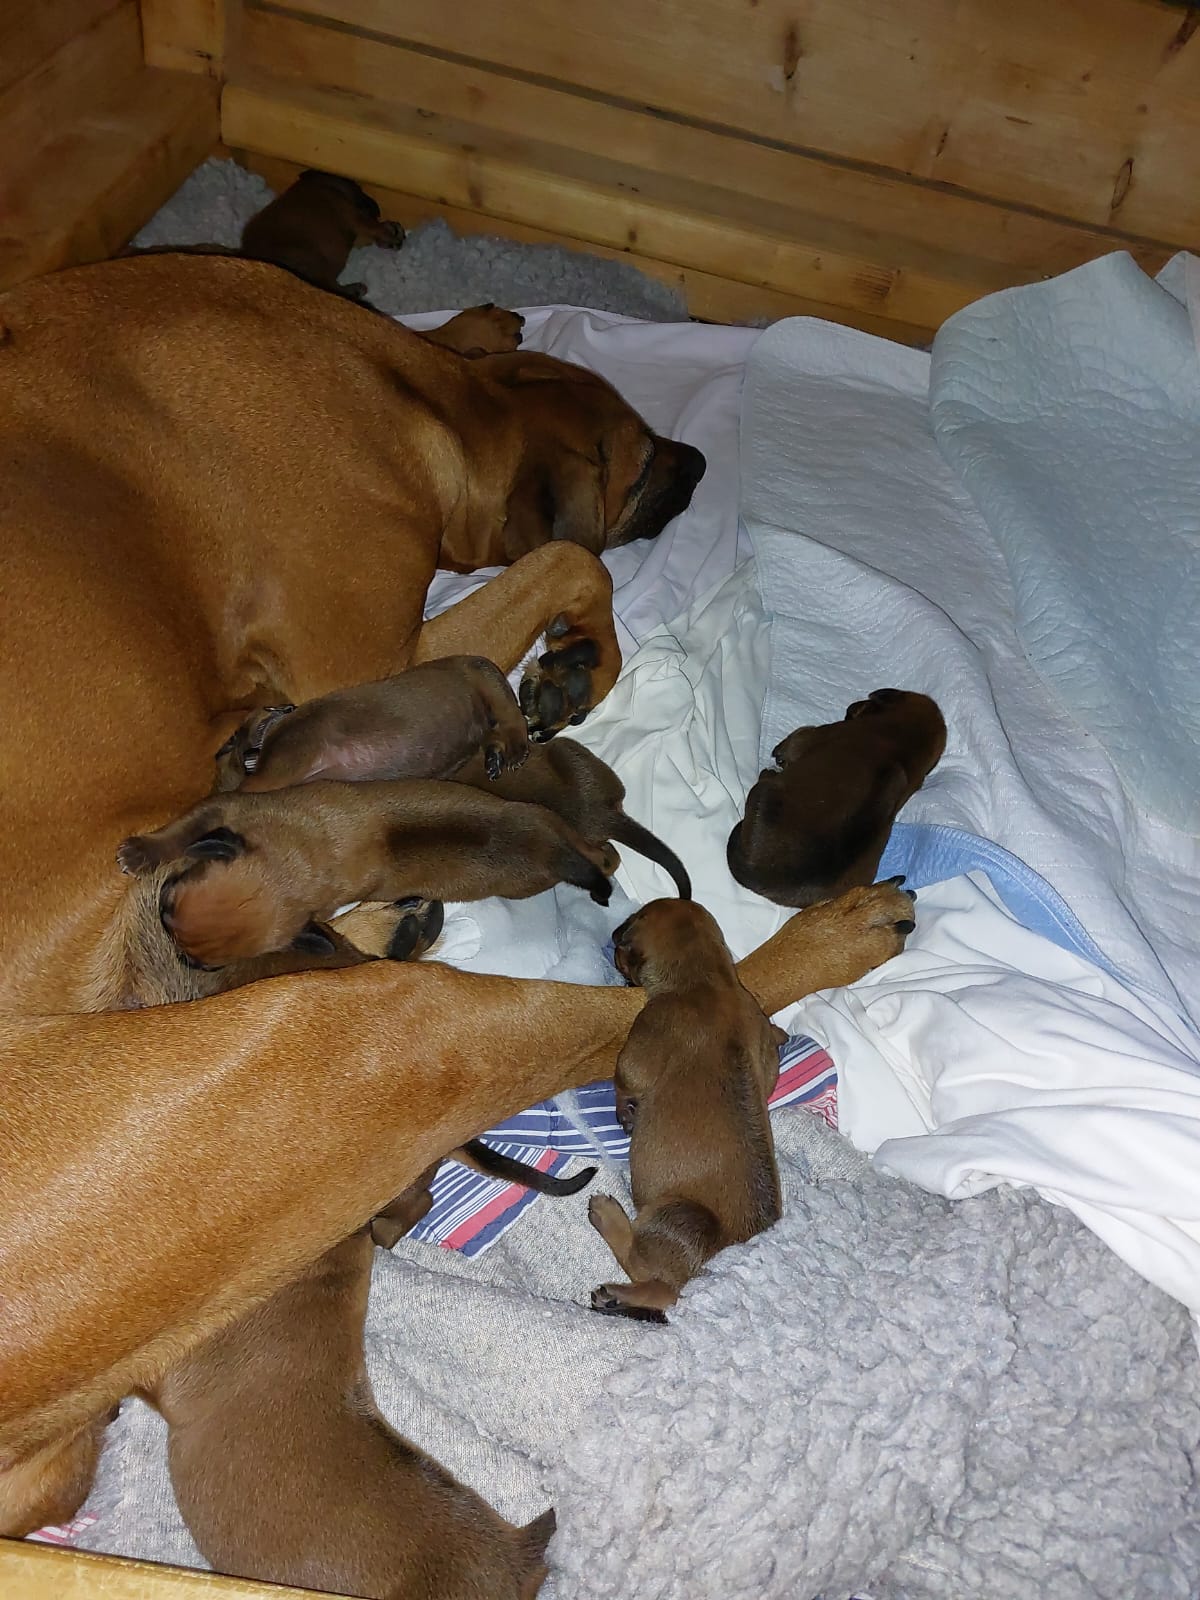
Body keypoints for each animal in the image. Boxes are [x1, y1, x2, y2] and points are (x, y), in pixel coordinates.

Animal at [117, 781, 620, 965]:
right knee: (600, 853)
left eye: (206, 965)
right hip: (543, 817)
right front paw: (143, 851)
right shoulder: (226, 808)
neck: (294, 861)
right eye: (167, 902)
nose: (179, 954)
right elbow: (183, 830)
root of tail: (550, 851)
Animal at [213, 655, 529, 792]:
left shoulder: (285, 758)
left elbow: (248, 786)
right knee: (494, 732)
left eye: (226, 746)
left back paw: (514, 750)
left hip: (483, 675)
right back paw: (494, 756)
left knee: (513, 717)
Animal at [239, 168, 405, 299]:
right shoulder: (352, 215)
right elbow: (373, 226)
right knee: (331, 286)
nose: (376, 208)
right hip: (314, 260)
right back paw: (354, 290)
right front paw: (391, 232)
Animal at [586, 899, 790, 1322]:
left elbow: (626, 1077)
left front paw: (626, 1110)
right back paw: (616, 1297)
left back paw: (609, 1219)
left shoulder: (648, 1031)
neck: (712, 979)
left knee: (649, 1273)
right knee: (661, 1291)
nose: (612, 936)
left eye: (626, 932)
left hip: (676, 1214)